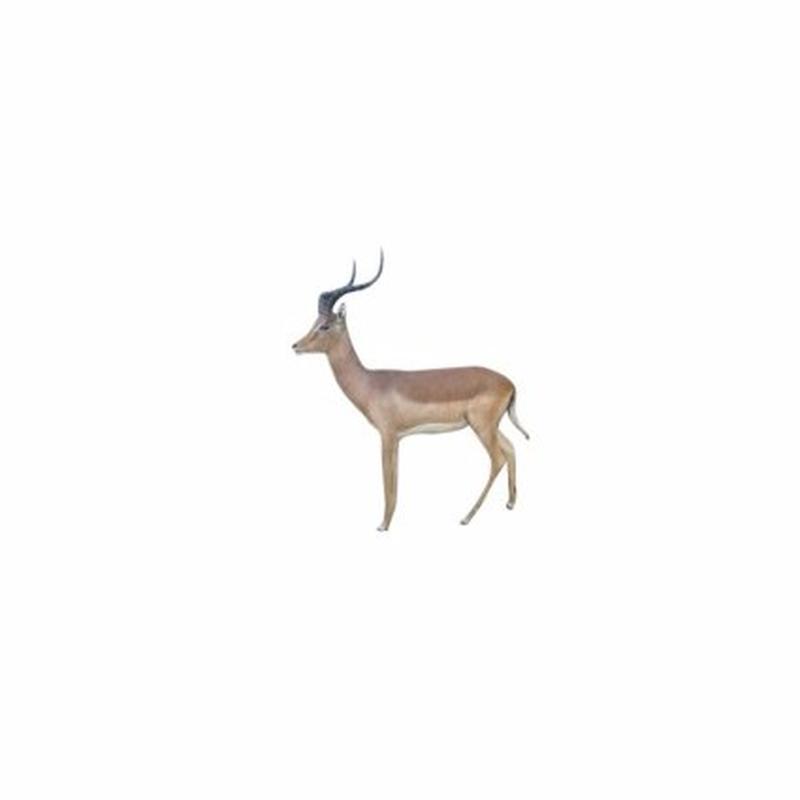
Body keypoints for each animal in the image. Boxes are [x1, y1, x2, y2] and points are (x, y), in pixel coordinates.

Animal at [292, 250, 530, 531]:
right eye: (315, 321)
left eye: (325, 325)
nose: (296, 345)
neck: (370, 382)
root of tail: (510, 383)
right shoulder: (397, 439)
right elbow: (394, 482)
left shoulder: (388, 436)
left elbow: (388, 481)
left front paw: (383, 525)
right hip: (490, 427)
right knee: (511, 448)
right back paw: (510, 503)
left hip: (481, 427)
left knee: (498, 459)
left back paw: (466, 517)